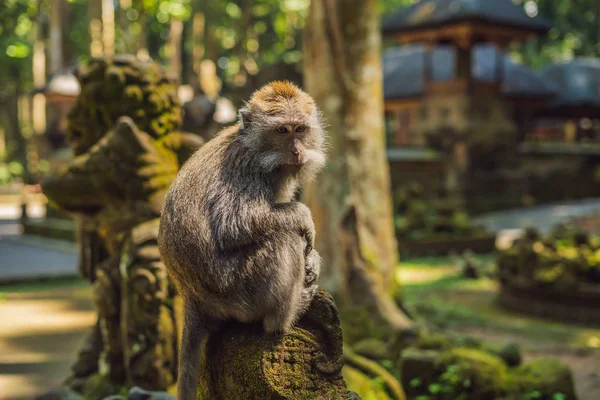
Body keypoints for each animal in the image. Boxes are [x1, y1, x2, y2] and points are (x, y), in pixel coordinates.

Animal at [158, 79, 328, 398]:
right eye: (281, 131)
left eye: (300, 129)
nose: (297, 151)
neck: (255, 149)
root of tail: (192, 298)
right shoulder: (243, 169)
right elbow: (234, 225)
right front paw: (304, 218)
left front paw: (313, 259)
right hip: (236, 290)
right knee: (282, 239)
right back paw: (284, 319)